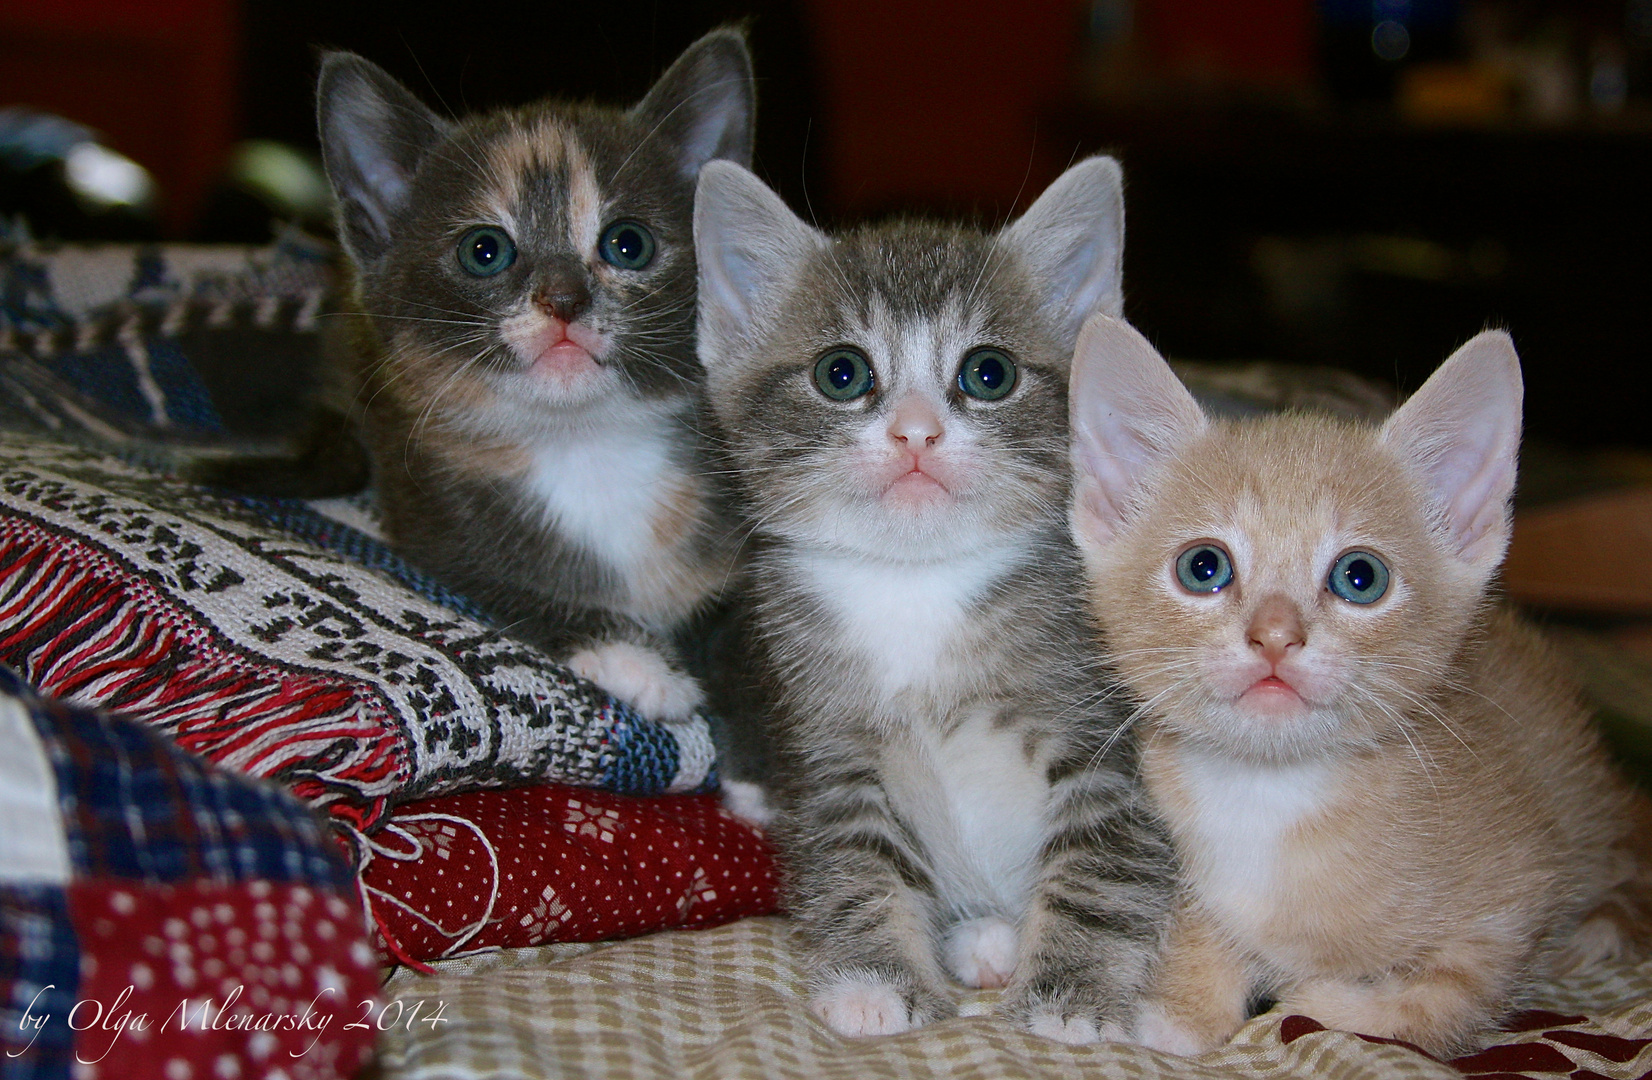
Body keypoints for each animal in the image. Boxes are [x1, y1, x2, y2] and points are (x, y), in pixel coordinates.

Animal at [315, 29, 756, 720]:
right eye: (484, 250)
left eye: (628, 244)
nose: (564, 298)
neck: (588, 448)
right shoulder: (435, 527)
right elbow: (515, 590)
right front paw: (636, 662)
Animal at [690, 158, 1182, 1043]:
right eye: (841, 373)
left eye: (988, 373)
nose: (916, 431)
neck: (917, 587)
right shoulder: (826, 741)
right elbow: (853, 858)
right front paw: (873, 979)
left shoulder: (1107, 737)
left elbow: (1103, 862)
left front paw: (1072, 992)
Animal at [1063, 313, 1645, 1056]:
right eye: (1203, 567)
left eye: (1359, 577)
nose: (1275, 635)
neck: (1269, 799)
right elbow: (1201, 934)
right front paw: (1182, 1011)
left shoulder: (1513, 907)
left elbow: (1430, 1005)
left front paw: (1315, 999)